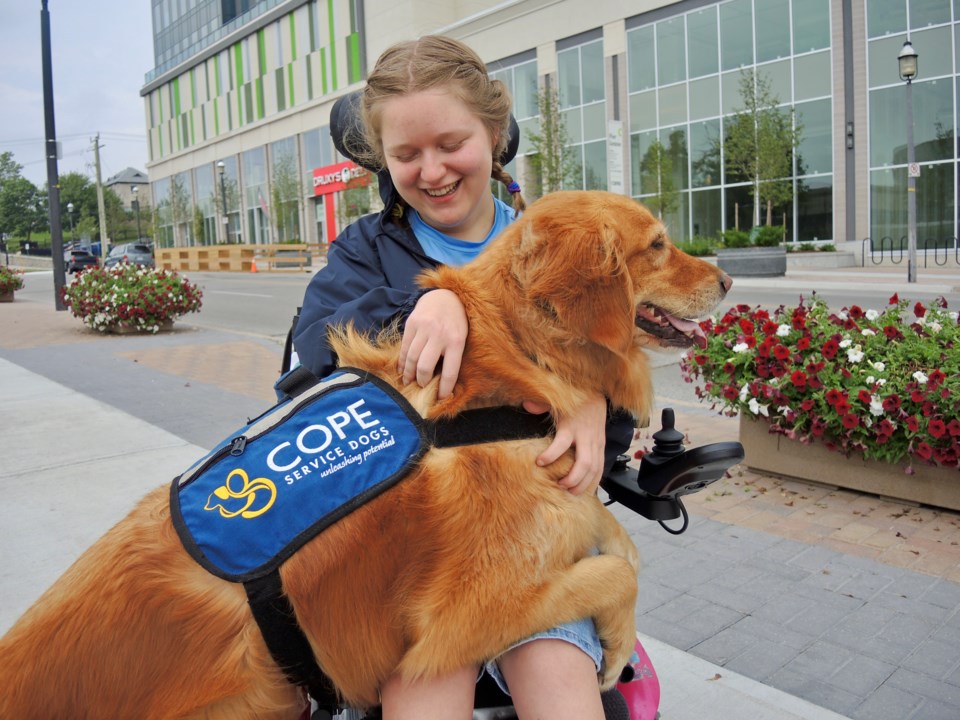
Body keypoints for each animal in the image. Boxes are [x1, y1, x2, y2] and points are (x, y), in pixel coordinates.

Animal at [0, 188, 728, 716]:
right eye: (658, 245)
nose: (724, 277)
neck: (517, 367)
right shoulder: (462, 619)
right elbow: (616, 573)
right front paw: (617, 643)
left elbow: (610, 533)